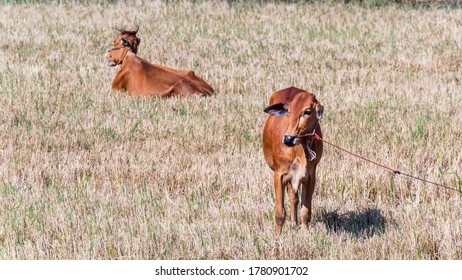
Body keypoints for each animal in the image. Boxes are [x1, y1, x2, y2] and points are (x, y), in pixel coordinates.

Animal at [264, 86, 324, 235]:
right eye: (289, 111)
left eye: (307, 111)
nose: (288, 139)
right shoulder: (279, 175)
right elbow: (280, 213)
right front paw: (277, 237)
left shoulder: (310, 177)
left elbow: (305, 212)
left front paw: (306, 234)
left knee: (294, 197)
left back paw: (294, 222)